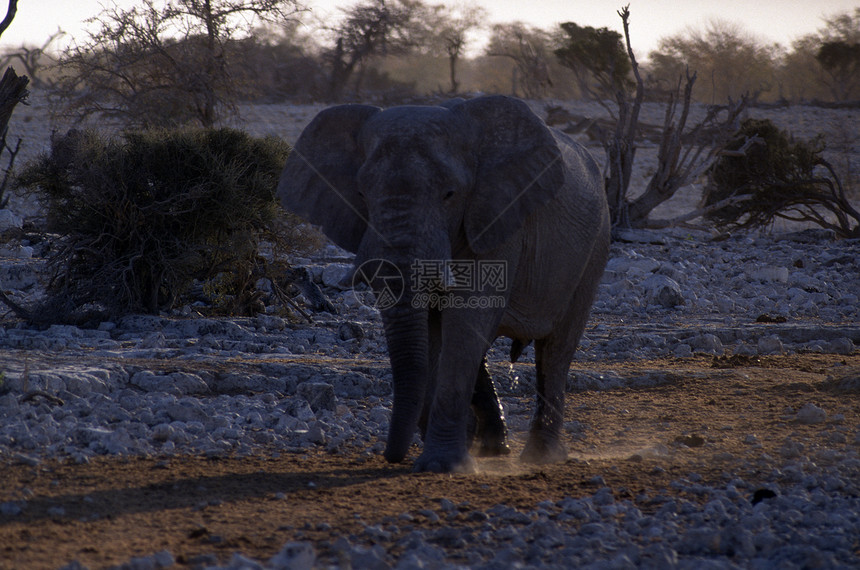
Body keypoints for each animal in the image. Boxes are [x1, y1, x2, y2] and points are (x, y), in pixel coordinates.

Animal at [278, 96, 608, 470]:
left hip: (595, 248)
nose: (392, 457)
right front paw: (454, 453)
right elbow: (436, 331)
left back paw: (539, 457)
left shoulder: (497, 217)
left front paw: (441, 466)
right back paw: (493, 448)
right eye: (361, 193)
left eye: (450, 194)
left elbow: (465, 320)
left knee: (555, 351)